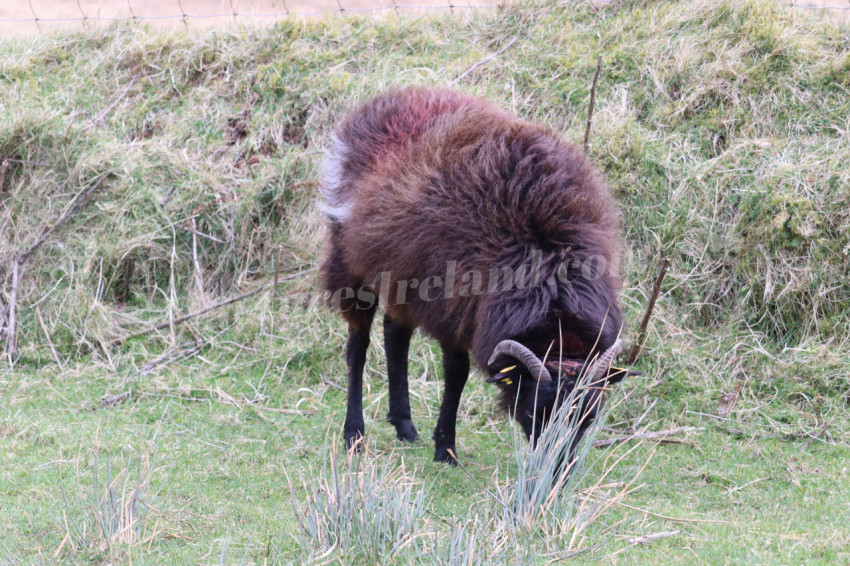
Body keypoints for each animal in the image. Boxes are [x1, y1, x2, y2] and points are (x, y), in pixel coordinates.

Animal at [319, 86, 631, 465]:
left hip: (401, 274)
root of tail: (392, 95)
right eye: (535, 411)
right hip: (350, 263)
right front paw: (446, 449)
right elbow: (457, 374)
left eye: (589, 414)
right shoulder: (454, 306)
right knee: (358, 346)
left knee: (395, 335)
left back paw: (404, 425)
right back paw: (354, 434)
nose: (555, 471)